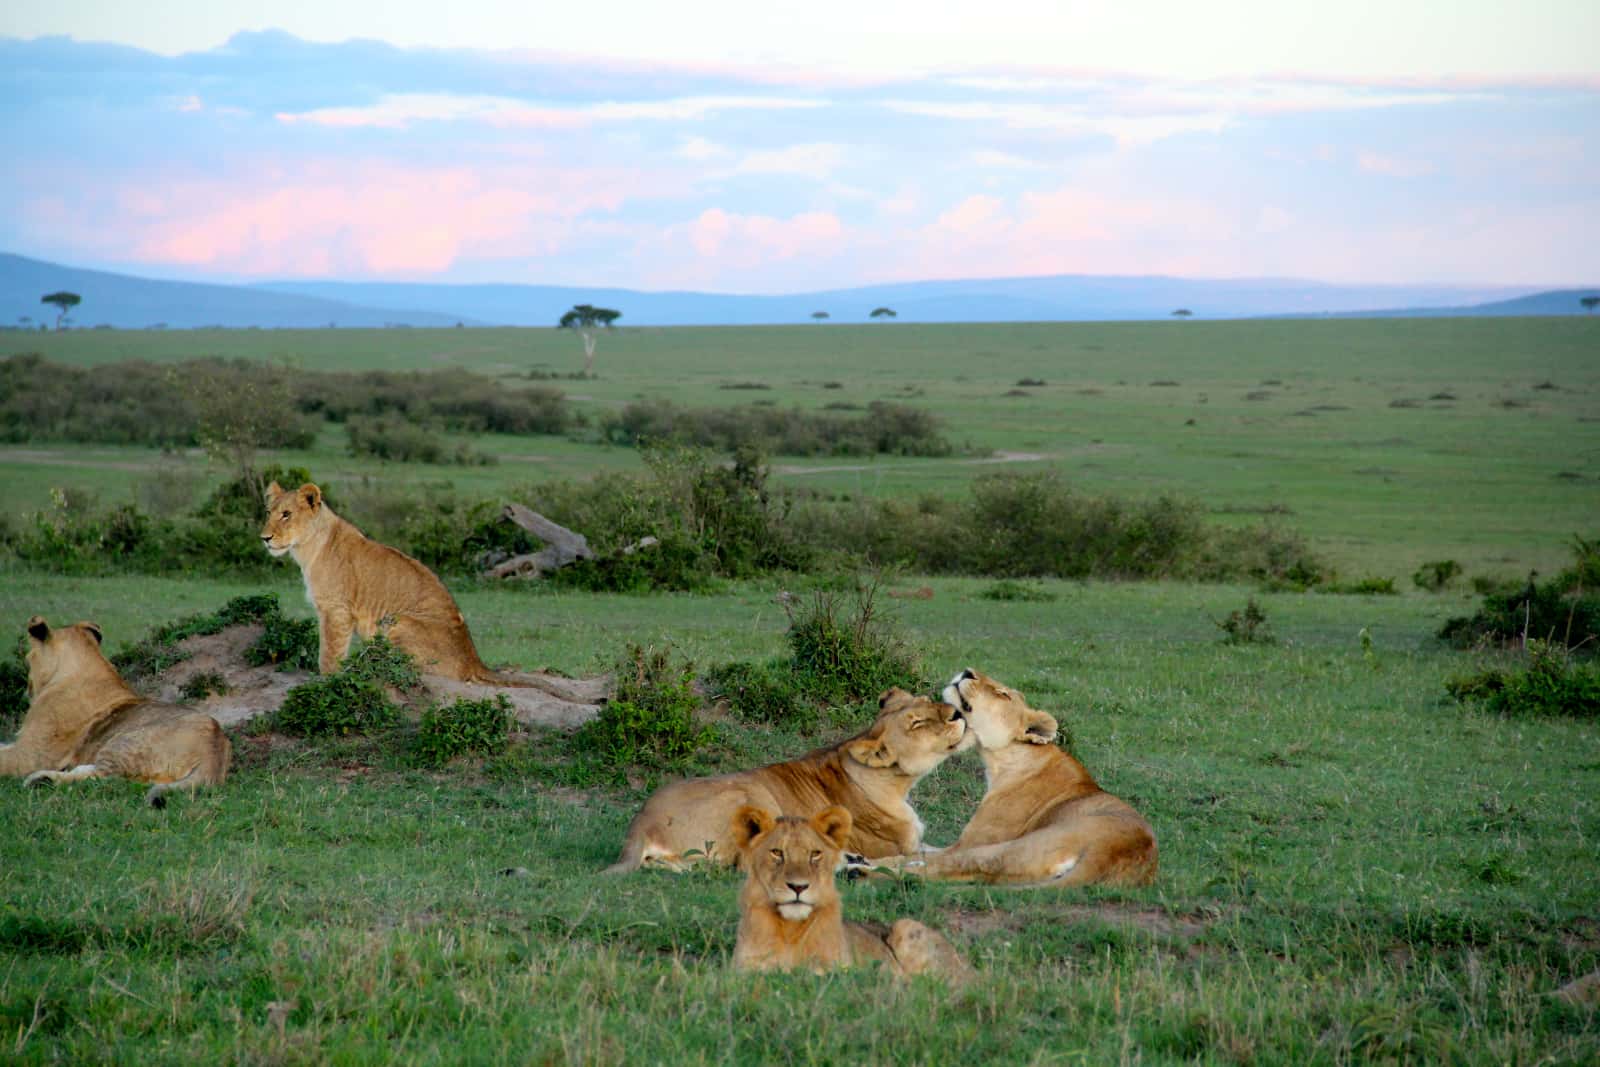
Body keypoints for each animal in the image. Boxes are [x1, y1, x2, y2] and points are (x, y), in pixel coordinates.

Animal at [0, 617, 232, 809]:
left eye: (27, 659)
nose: (26, 691)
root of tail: (213, 751)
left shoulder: (29, 756)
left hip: (122, 742)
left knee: (102, 778)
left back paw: (40, 780)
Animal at [262, 483, 531, 684]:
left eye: (286, 514)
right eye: (268, 513)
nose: (264, 538)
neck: (307, 549)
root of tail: (474, 660)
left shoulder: (335, 610)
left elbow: (329, 653)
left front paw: (327, 680)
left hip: (397, 621)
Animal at [604, 694, 960, 876]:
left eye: (928, 699)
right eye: (917, 723)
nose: (957, 712)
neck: (898, 784)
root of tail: (640, 825)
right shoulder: (901, 846)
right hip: (752, 795)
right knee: (752, 865)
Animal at [732, 806, 966, 979]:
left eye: (815, 854)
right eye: (777, 853)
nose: (798, 887)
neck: (790, 931)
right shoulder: (744, 971)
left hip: (906, 926)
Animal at [870, 671, 1158, 889]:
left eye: (1003, 693)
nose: (967, 672)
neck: (1003, 760)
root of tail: (1115, 853)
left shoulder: (973, 841)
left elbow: (922, 852)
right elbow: (923, 849)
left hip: (1014, 847)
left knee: (951, 865)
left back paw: (864, 866)